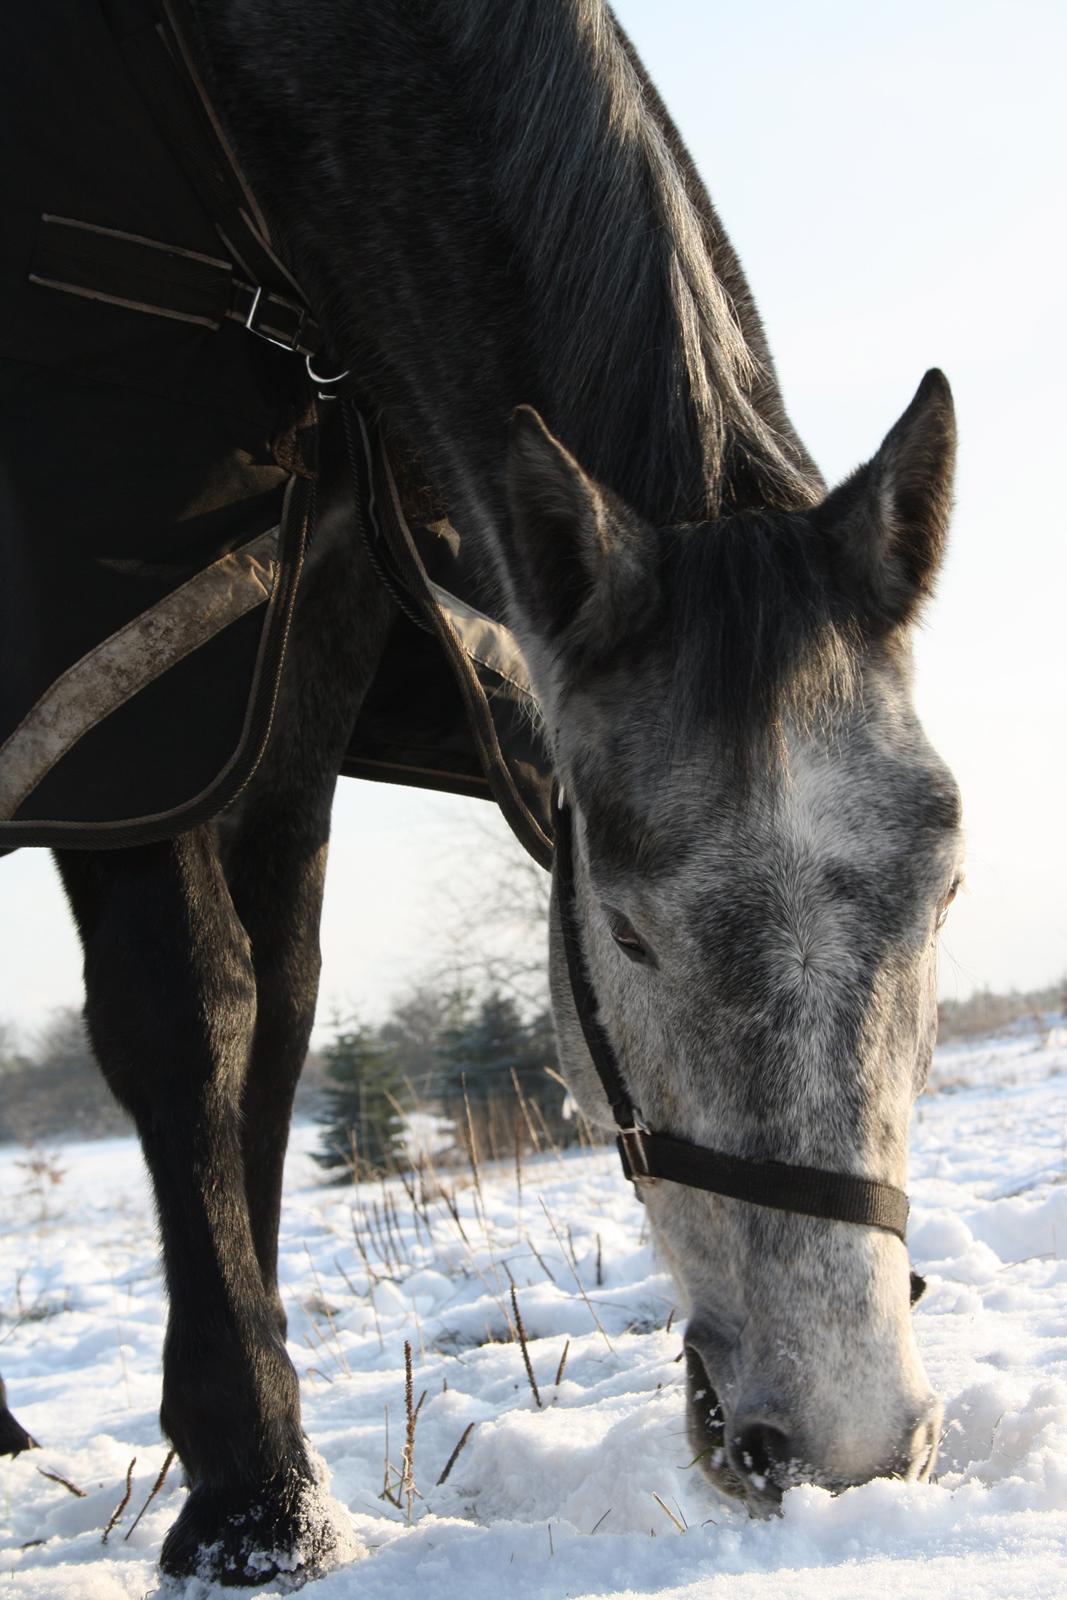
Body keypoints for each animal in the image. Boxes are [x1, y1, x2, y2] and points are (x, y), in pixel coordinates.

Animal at [2, 0, 966, 1580]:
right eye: (622, 928)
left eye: (941, 889)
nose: (838, 1449)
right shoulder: (132, 712)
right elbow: (189, 1025)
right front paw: (252, 1499)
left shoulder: (294, 666)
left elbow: (276, 1027)